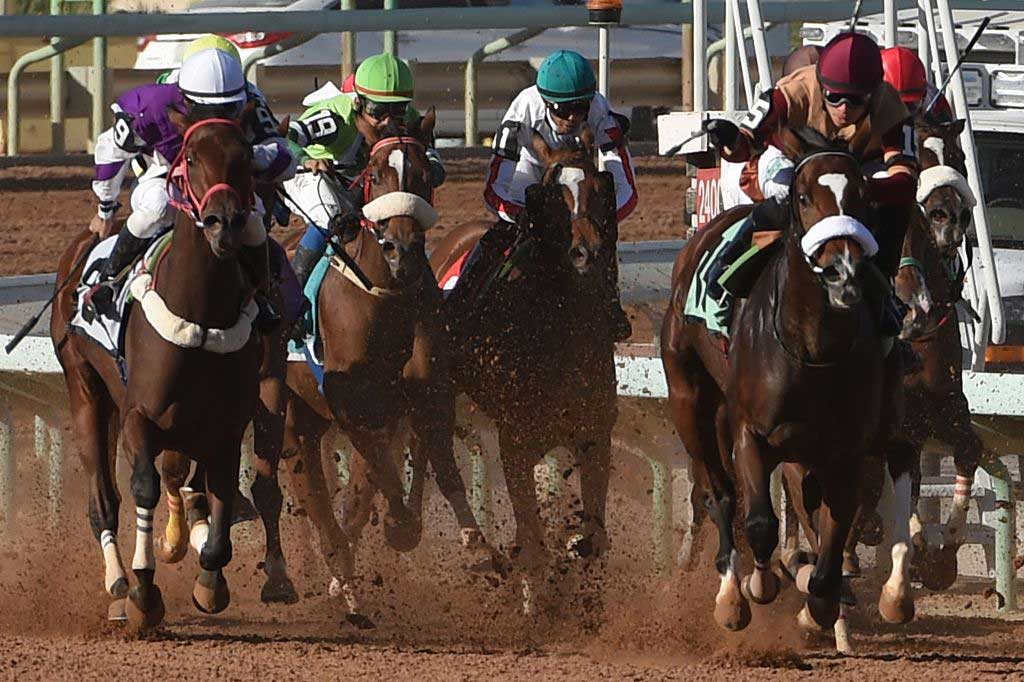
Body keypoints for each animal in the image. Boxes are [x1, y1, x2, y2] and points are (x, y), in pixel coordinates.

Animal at [52, 110, 264, 626]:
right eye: (192, 157)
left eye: (245, 154)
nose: (224, 223)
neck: (202, 318)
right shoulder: (138, 417)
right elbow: (143, 488)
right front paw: (144, 591)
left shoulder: (226, 427)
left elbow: (219, 491)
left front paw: (209, 578)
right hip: (86, 391)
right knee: (104, 501)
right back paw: (117, 583)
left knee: (180, 479)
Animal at [278, 112, 489, 626]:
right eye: (375, 172)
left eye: (426, 172)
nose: (401, 249)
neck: (385, 299)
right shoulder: (351, 405)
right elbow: (381, 471)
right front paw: (397, 524)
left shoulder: (427, 394)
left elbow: (437, 465)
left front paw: (474, 544)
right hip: (289, 413)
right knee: (311, 492)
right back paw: (344, 581)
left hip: (312, 419)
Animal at [430, 127, 618, 610]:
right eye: (550, 195)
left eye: (599, 187)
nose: (586, 253)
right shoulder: (515, 441)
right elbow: (532, 539)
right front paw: (535, 601)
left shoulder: (594, 436)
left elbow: (592, 537)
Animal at [667, 129, 917, 630]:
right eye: (802, 196)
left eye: (863, 196)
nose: (843, 272)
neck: (812, 350)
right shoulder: (750, 432)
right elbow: (761, 522)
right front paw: (760, 584)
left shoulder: (845, 449)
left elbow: (836, 531)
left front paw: (819, 602)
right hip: (689, 399)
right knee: (719, 493)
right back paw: (731, 593)